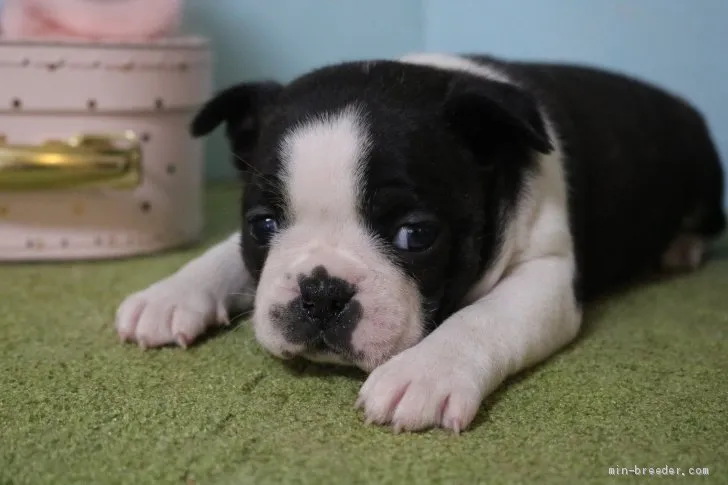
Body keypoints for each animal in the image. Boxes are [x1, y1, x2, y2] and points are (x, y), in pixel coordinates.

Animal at [114, 52, 724, 432]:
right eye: (262, 226)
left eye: (415, 235)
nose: (322, 292)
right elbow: (224, 255)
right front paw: (171, 294)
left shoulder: (546, 273)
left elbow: (483, 317)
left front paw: (424, 372)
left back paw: (680, 250)